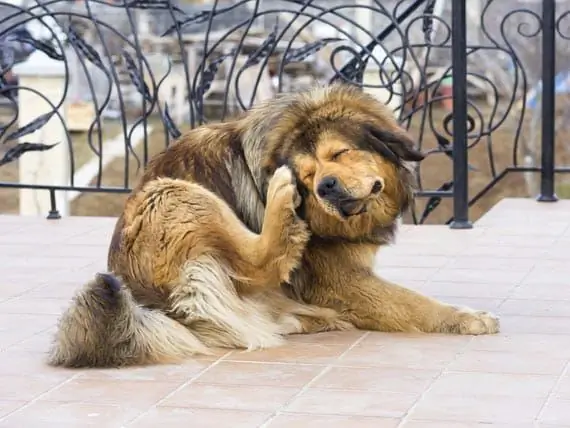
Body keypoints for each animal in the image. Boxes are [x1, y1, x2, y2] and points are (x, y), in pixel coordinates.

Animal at [47, 83, 496, 368]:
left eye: (340, 153)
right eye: (308, 174)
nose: (325, 187)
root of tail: (146, 304)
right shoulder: (341, 279)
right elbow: (415, 303)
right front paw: (467, 318)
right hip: (172, 194)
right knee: (259, 260)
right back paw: (281, 204)